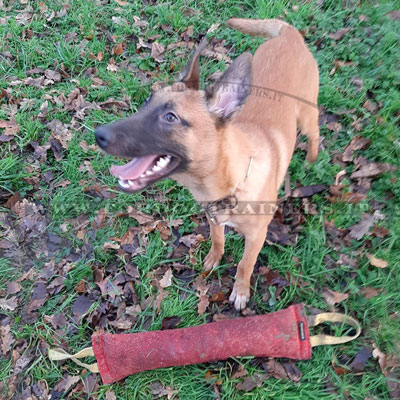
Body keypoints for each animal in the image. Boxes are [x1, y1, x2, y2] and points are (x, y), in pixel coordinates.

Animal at [95, 18, 320, 310]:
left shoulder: (257, 236)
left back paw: (311, 161)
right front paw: (215, 258)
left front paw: (241, 290)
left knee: (315, 134)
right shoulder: (213, 218)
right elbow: (217, 239)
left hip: (307, 116)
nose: (98, 135)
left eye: (170, 117)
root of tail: (288, 34)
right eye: (146, 102)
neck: (232, 182)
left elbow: (245, 264)